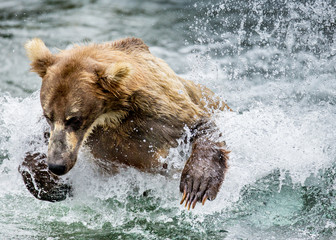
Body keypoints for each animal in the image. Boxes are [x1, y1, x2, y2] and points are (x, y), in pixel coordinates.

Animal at [19, 37, 231, 210]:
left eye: (75, 118)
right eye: (48, 115)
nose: (57, 165)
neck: (113, 114)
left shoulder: (159, 112)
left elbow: (199, 125)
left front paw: (197, 184)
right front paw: (50, 184)